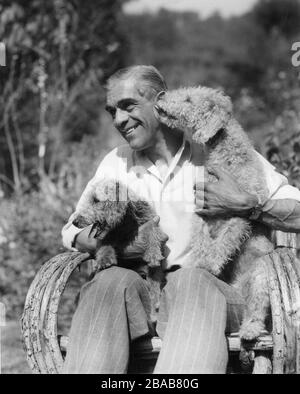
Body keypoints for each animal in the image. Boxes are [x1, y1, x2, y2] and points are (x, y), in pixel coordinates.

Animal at [156, 86, 276, 338]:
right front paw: (201, 262)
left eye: (188, 99)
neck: (227, 156)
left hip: (260, 274)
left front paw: (209, 265)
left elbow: (225, 241)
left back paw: (250, 329)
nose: (161, 94)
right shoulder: (201, 209)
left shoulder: (238, 214)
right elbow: (201, 239)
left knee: (257, 307)